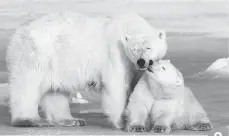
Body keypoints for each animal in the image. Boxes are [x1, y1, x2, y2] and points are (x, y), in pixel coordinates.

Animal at [4, 11, 166, 129]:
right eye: (134, 49)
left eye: (148, 47)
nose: (141, 61)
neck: (128, 26)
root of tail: (17, 33)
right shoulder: (116, 55)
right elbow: (117, 85)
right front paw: (121, 122)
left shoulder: (134, 66)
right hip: (36, 52)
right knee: (27, 84)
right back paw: (29, 120)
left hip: (58, 62)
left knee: (56, 91)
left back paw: (72, 120)